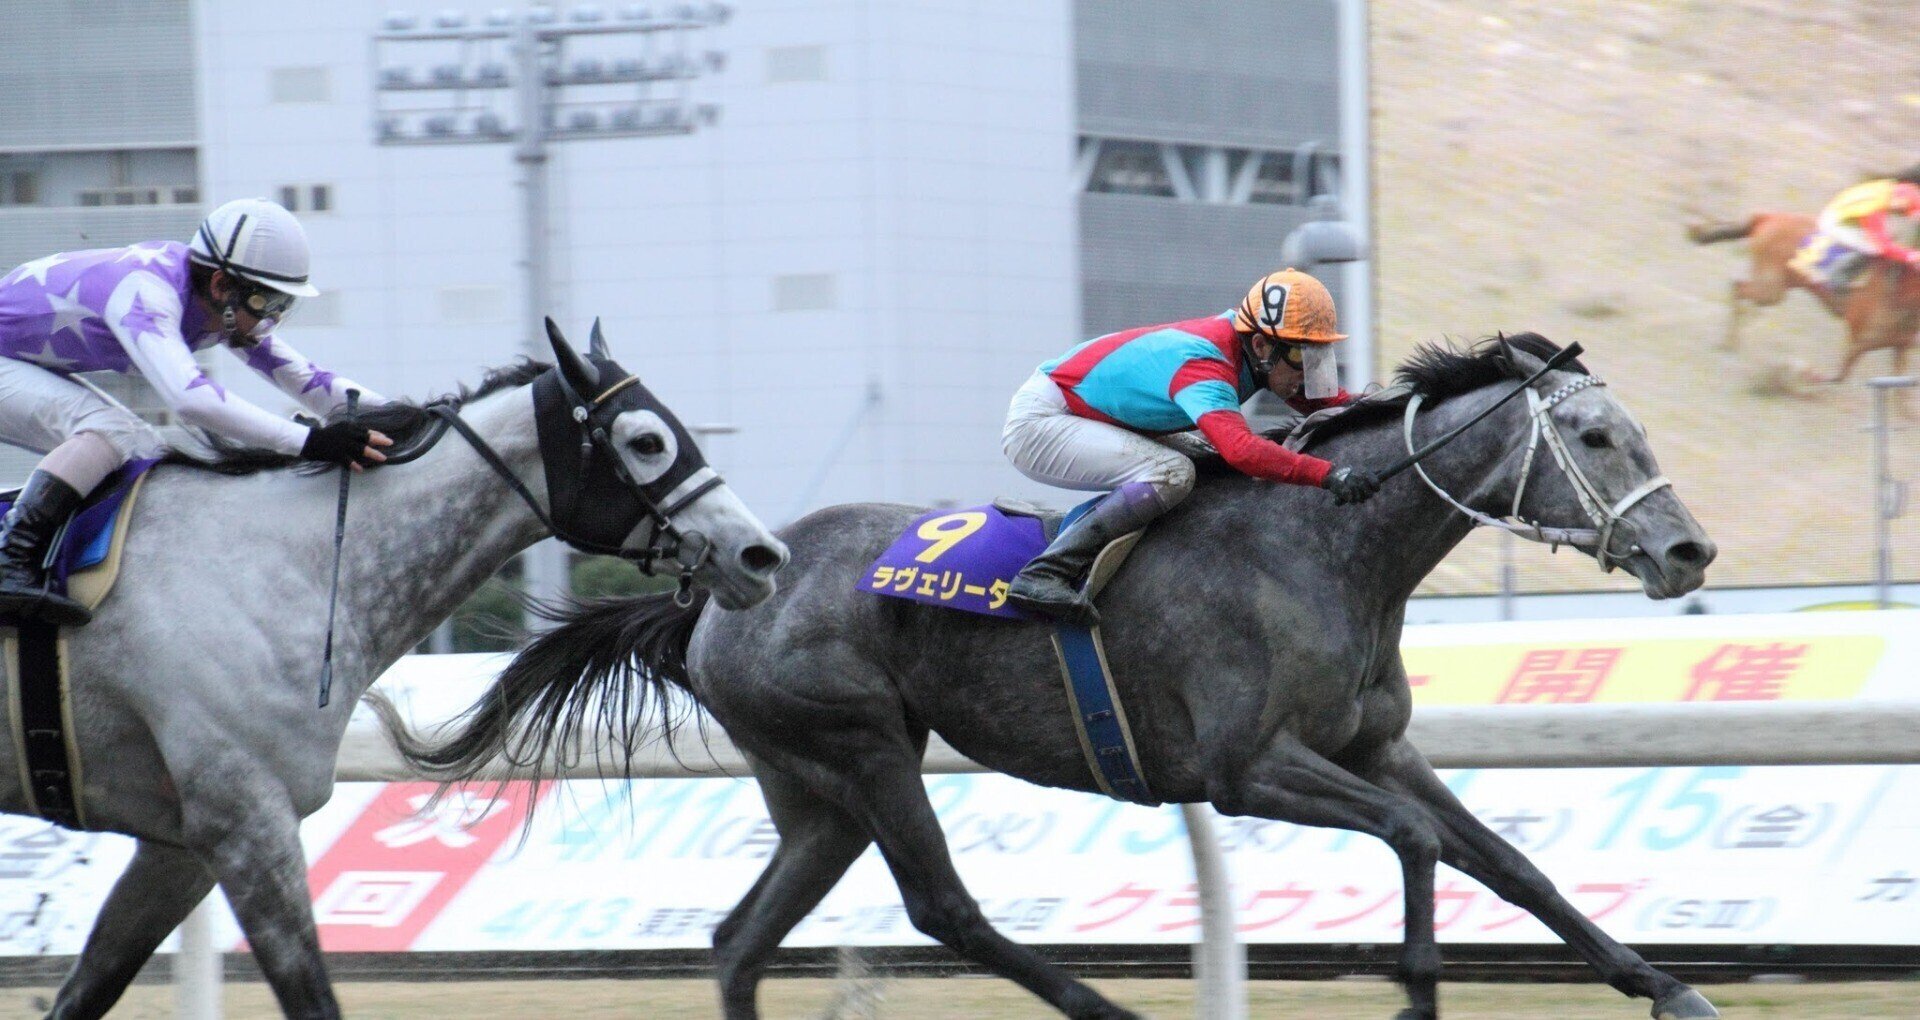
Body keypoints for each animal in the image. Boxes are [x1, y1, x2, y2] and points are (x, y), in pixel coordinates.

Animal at [24, 319, 787, 1020]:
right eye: (647, 441)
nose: (760, 554)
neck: (277, 564)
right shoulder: (243, 821)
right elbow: (310, 993)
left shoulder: (180, 845)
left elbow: (89, 988)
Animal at [397, 333, 1720, 1020]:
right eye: (1596, 438)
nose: (1687, 552)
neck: (1324, 547)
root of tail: (714, 595)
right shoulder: (1245, 770)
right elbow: (1420, 840)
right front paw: (1419, 996)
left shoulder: (1371, 745)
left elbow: (1511, 863)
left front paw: (1665, 987)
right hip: (864, 747)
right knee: (944, 909)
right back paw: (1114, 1015)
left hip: (814, 790)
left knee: (737, 940)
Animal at [1688, 212, 1920, 382]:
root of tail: (1767, 216)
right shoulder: (1858, 340)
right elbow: (1838, 375)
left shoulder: (1900, 347)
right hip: (1771, 288)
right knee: (1738, 288)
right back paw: (1730, 341)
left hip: (1781, 284)